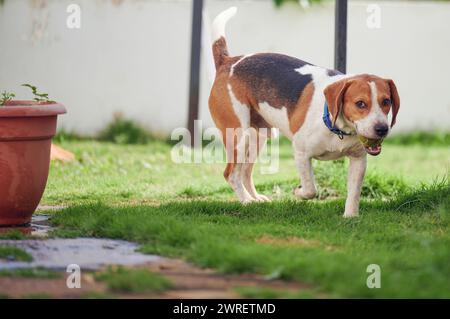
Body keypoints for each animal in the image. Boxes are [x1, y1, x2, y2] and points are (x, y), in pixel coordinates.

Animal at [208, 8, 400, 218]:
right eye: (360, 103)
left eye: (386, 102)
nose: (382, 129)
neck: (336, 127)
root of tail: (228, 61)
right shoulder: (301, 152)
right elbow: (310, 190)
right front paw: (298, 192)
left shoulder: (358, 159)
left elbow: (354, 193)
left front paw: (351, 217)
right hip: (238, 137)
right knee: (231, 174)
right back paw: (246, 201)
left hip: (258, 137)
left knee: (245, 172)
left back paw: (255, 198)